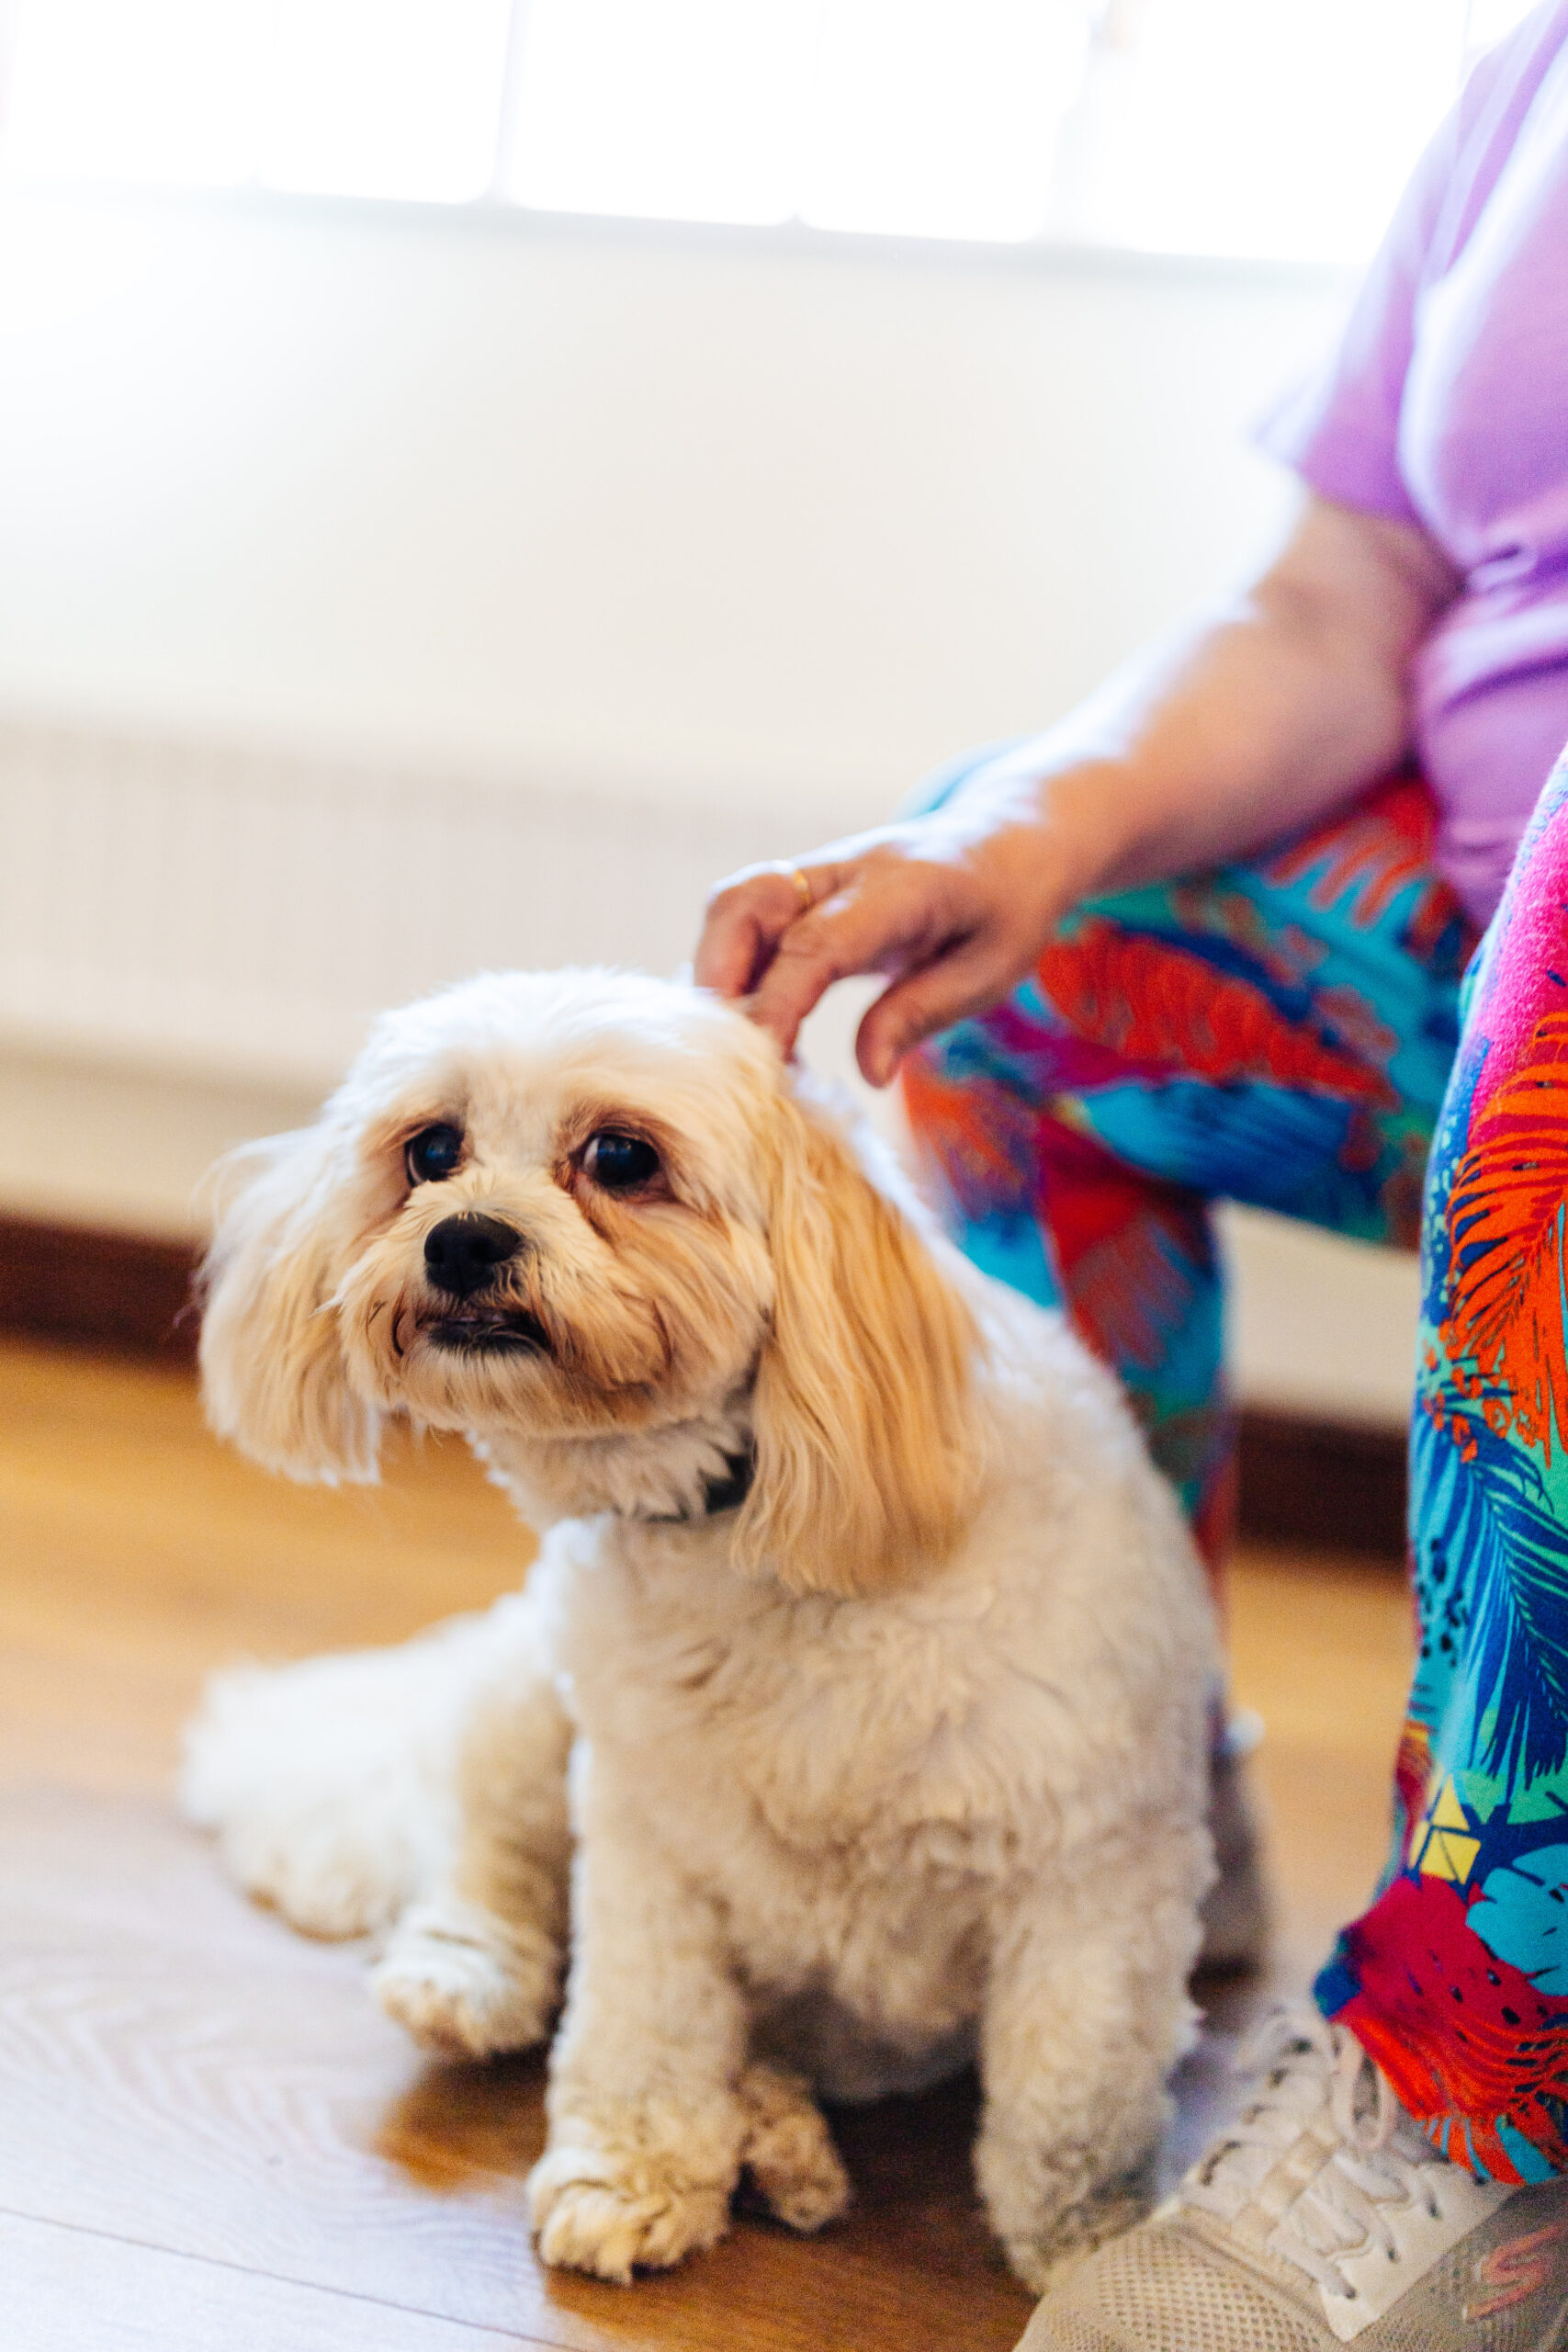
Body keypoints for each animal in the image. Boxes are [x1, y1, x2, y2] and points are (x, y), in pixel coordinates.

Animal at [177, 964, 1222, 2286]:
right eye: (431, 1150)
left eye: (622, 1156)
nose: (463, 1236)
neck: (736, 1532)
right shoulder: (647, 1841)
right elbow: (644, 2023)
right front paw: (631, 2175)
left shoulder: (1096, 1876)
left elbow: (1071, 2099)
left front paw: (1096, 2251)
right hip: (527, 1701)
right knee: (486, 1858)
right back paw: (467, 1978)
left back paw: (781, 2135)